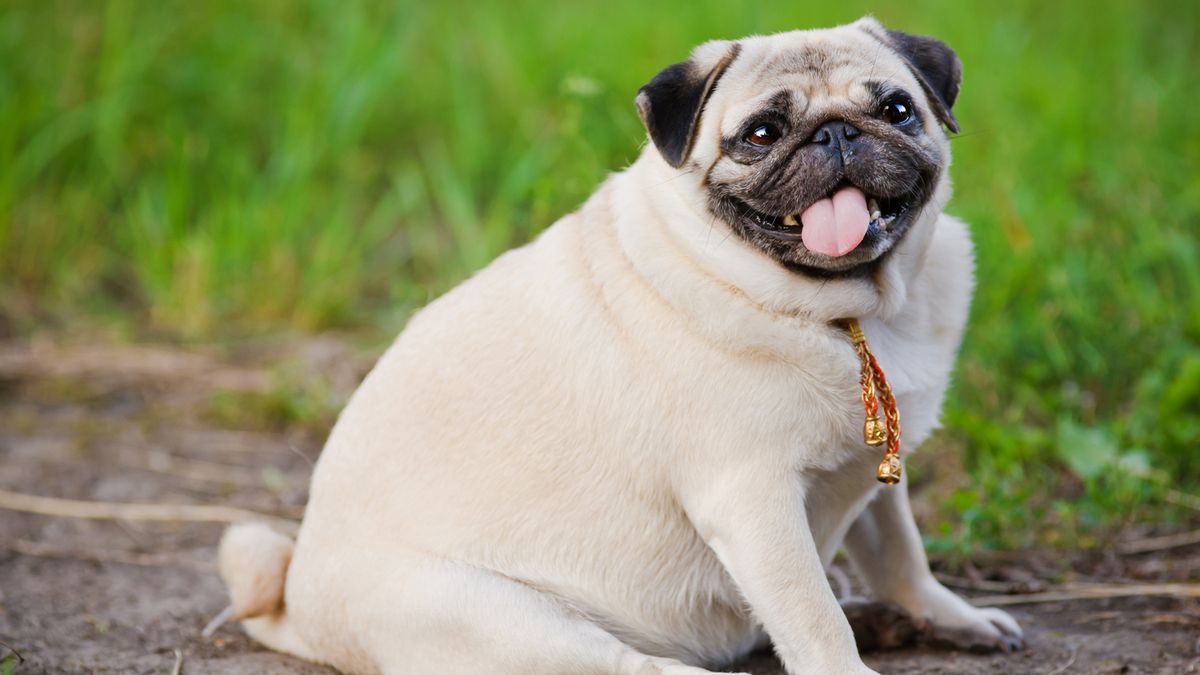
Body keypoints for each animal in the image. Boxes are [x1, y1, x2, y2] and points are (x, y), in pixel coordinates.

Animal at [216, 15, 1022, 672]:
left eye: (896, 110)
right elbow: (812, 618)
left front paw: (943, 612)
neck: (850, 315)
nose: (837, 131)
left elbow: (899, 553)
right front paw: (845, 654)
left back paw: (880, 617)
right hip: (507, 620)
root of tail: (298, 608)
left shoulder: (871, 461)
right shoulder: (752, 501)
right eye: (761, 134)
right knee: (638, 665)